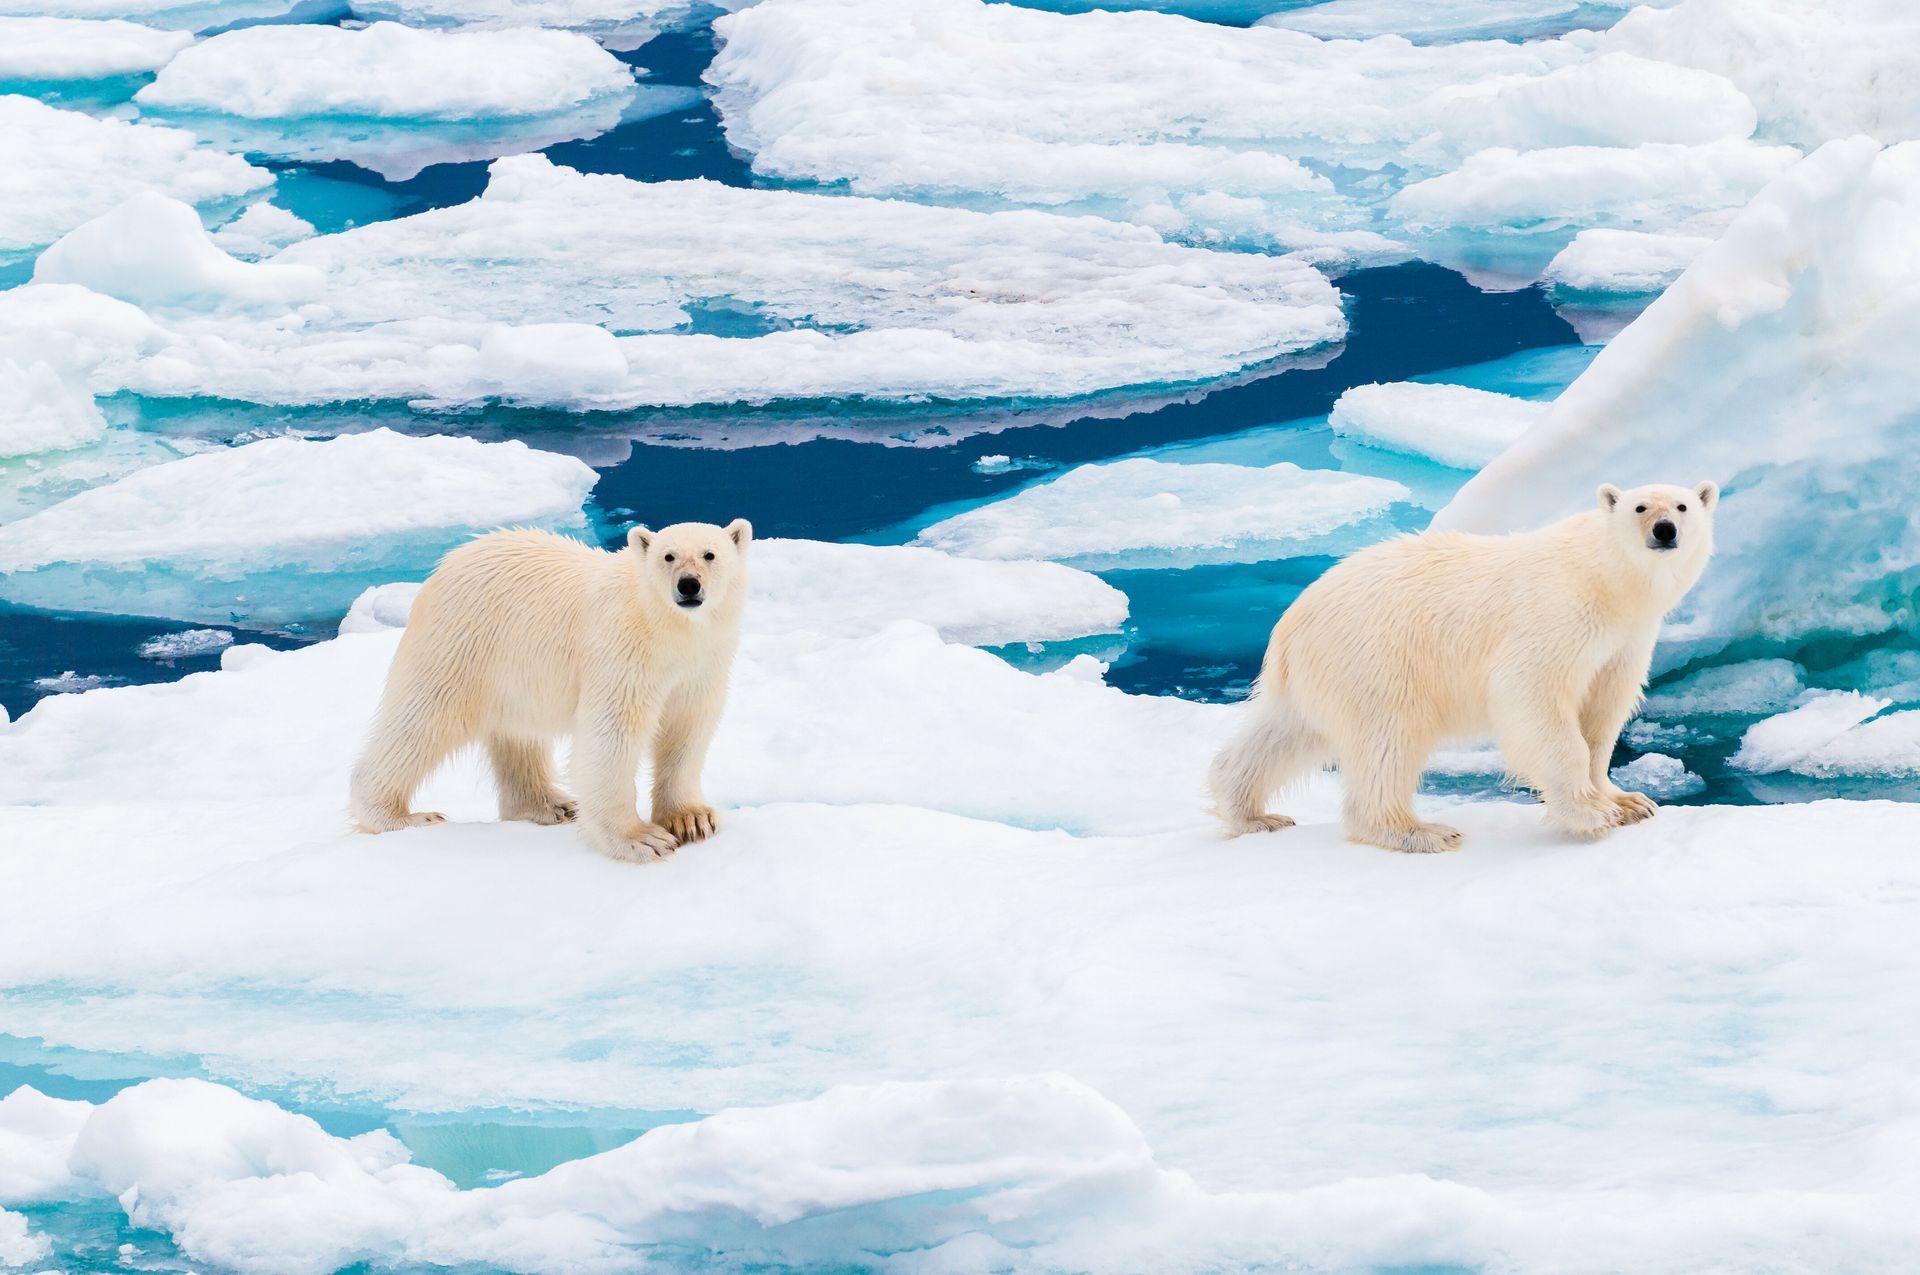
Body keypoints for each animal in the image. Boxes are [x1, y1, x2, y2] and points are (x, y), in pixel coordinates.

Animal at [351, 522, 748, 867]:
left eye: (710, 554)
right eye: (668, 556)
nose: (688, 585)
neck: (668, 628)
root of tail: (447, 564)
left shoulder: (701, 665)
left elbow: (688, 728)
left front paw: (691, 820)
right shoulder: (624, 650)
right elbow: (612, 734)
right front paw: (640, 839)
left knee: (517, 735)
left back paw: (552, 805)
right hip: (460, 644)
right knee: (422, 721)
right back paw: (401, 816)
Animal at [1205, 483, 1720, 852]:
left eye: (1682, 505)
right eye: (1639, 507)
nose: (1665, 529)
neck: (1606, 581)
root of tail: (1291, 623)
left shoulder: (1624, 641)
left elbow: (1602, 717)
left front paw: (1629, 801)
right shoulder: (1556, 616)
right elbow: (1532, 696)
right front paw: (1590, 814)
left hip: (1322, 673)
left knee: (1283, 733)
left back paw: (1252, 814)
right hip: (1378, 659)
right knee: (1388, 740)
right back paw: (1422, 832)